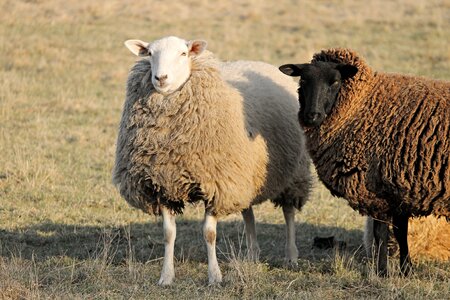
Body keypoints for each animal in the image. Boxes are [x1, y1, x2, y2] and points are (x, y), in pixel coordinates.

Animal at [112, 36, 312, 284]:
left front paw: (215, 276)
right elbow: (168, 234)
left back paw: (291, 255)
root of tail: (258, 62)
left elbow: (209, 234)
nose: (161, 78)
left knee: (289, 212)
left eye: (183, 54)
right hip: (243, 175)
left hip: (293, 173)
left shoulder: (216, 185)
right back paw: (252, 255)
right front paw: (166, 276)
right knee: (248, 212)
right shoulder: (162, 185)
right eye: (149, 53)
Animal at [280, 48, 448, 276]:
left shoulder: (377, 192)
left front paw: (382, 272)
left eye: (335, 81)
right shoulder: (398, 191)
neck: (362, 104)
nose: (311, 116)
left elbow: (382, 234)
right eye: (303, 80)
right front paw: (405, 270)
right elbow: (400, 233)